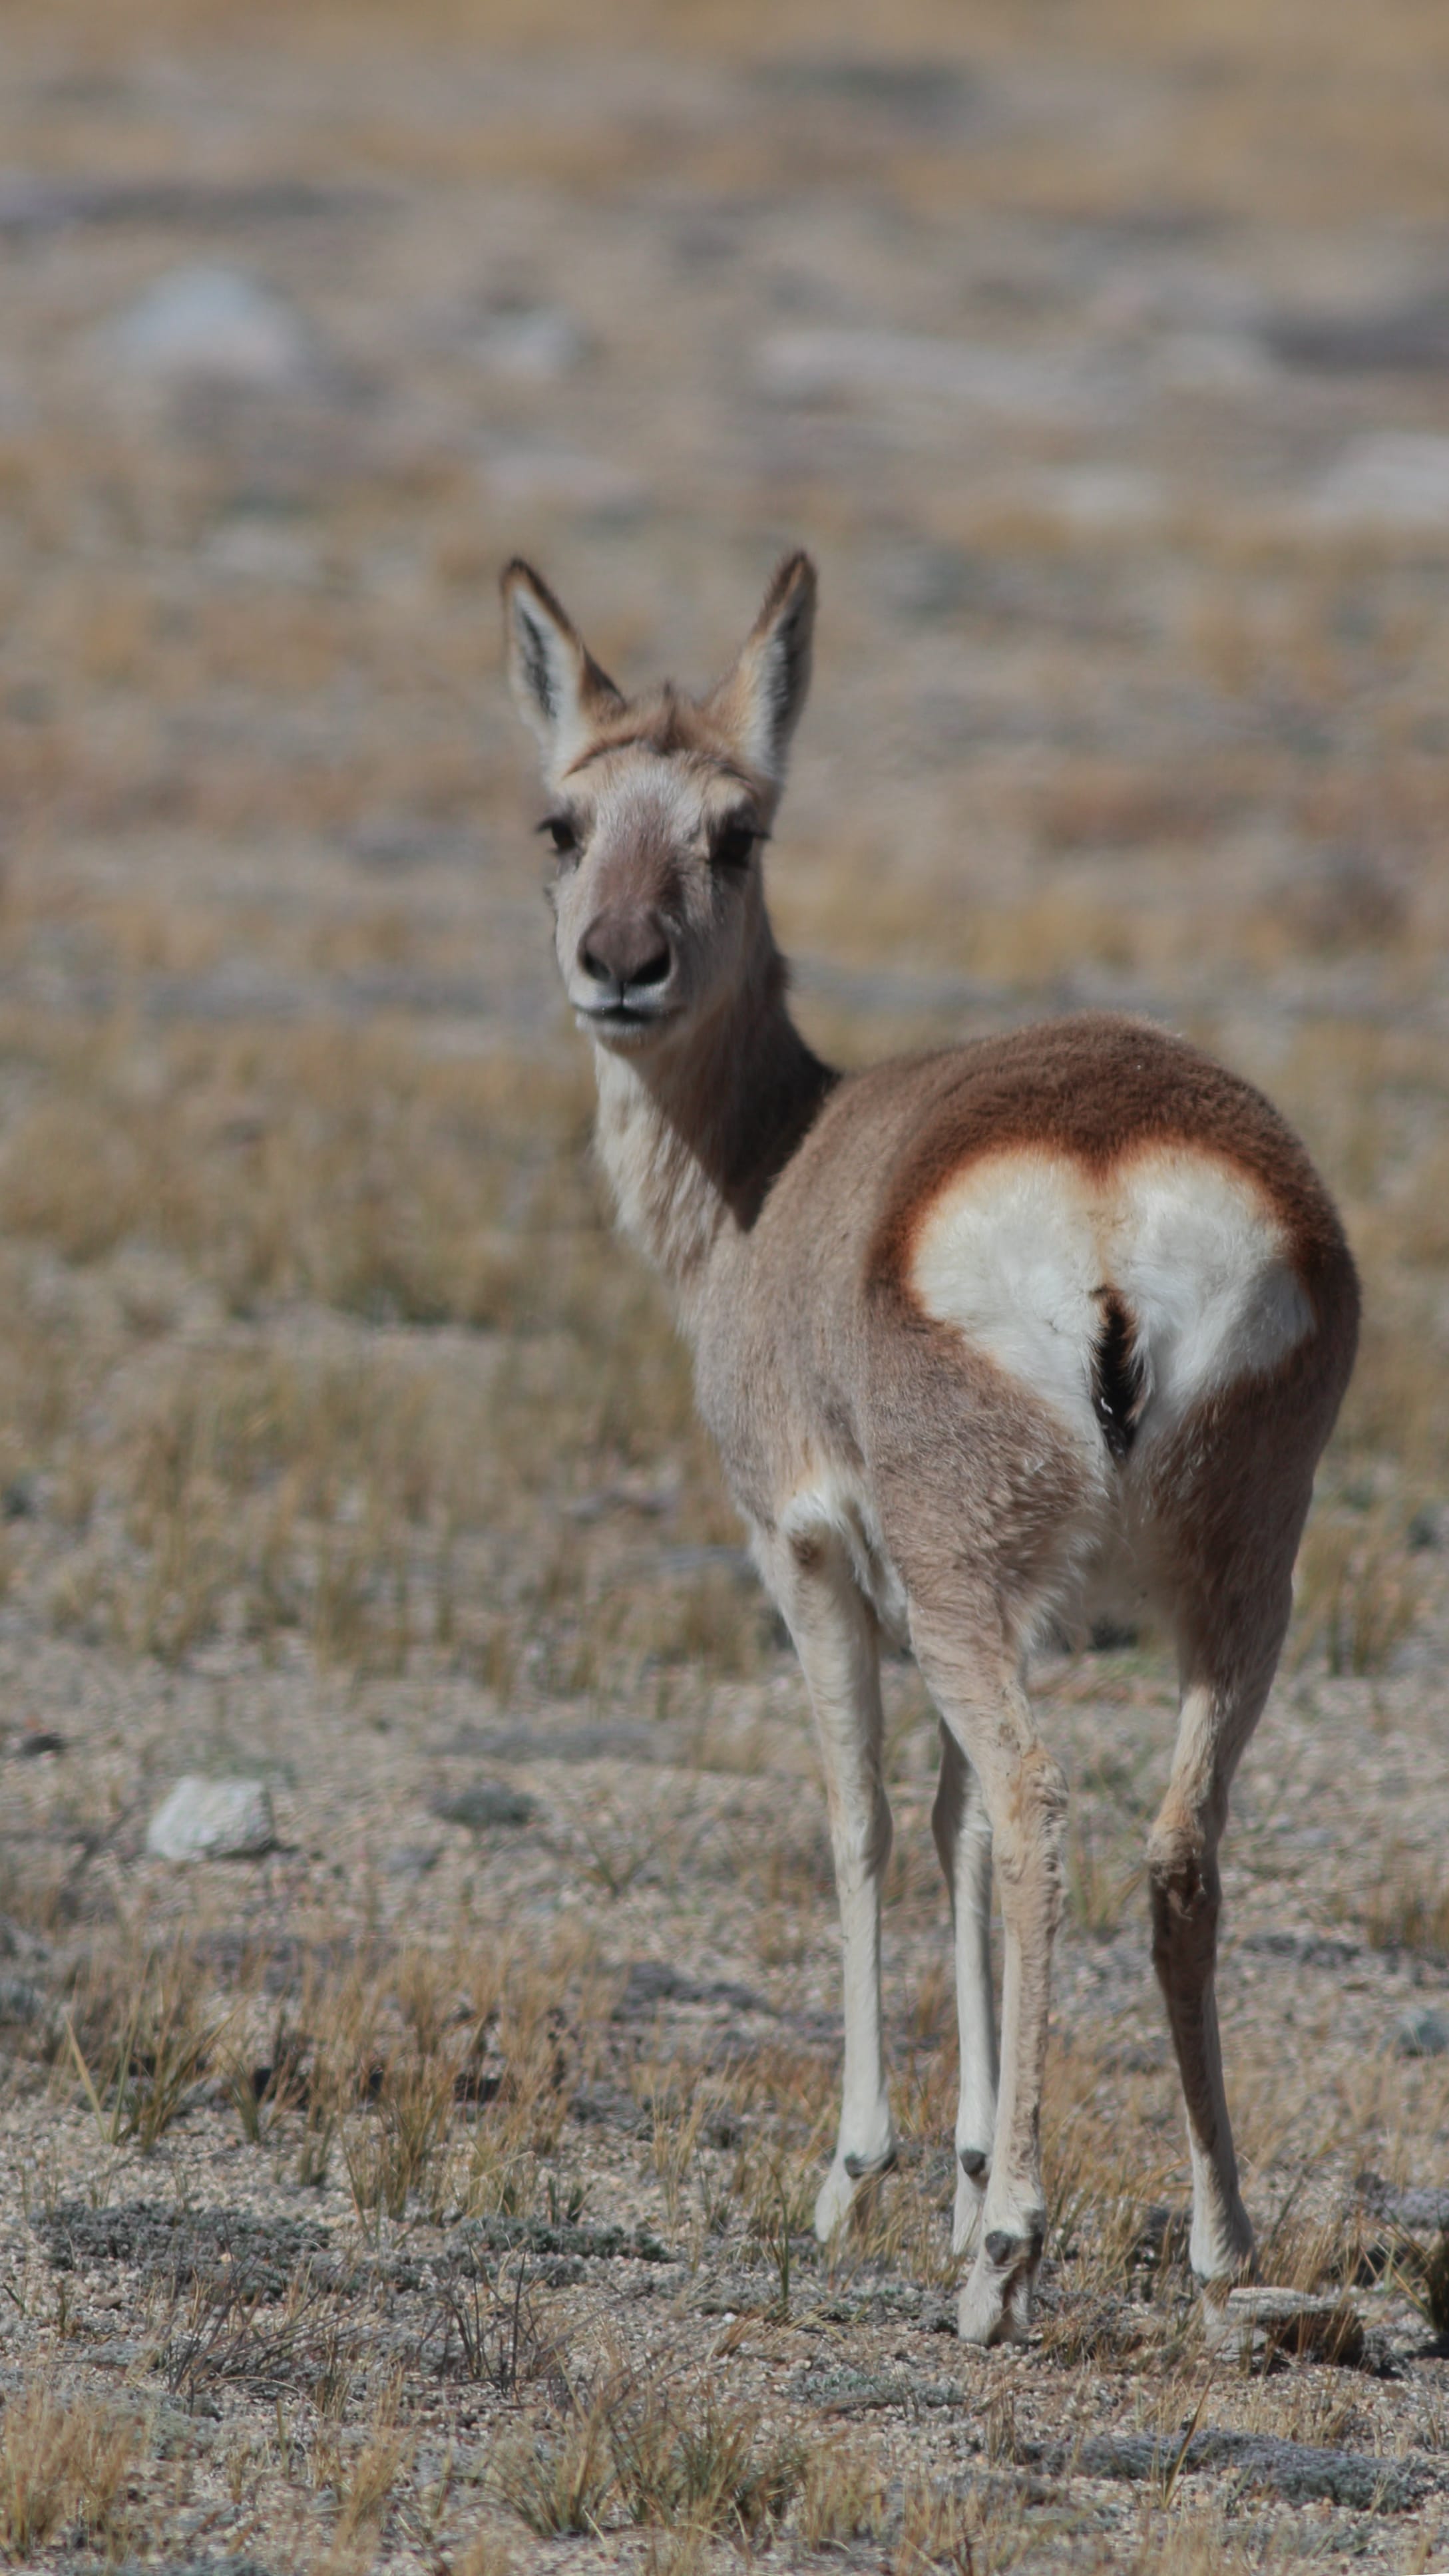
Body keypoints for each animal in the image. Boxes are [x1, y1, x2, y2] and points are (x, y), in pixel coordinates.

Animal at [501, 551, 1358, 2346]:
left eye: (737, 828)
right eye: (564, 818)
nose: (621, 963)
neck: (776, 1168)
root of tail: (1107, 1161)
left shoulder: (811, 1562)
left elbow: (872, 1825)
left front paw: (865, 2182)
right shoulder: (999, 1612)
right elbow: (952, 1834)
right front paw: (965, 2173)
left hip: (986, 1597)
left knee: (1037, 1810)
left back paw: (1011, 2260)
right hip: (1236, 1597)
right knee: (1173, 1851)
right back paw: (1215, 2237)